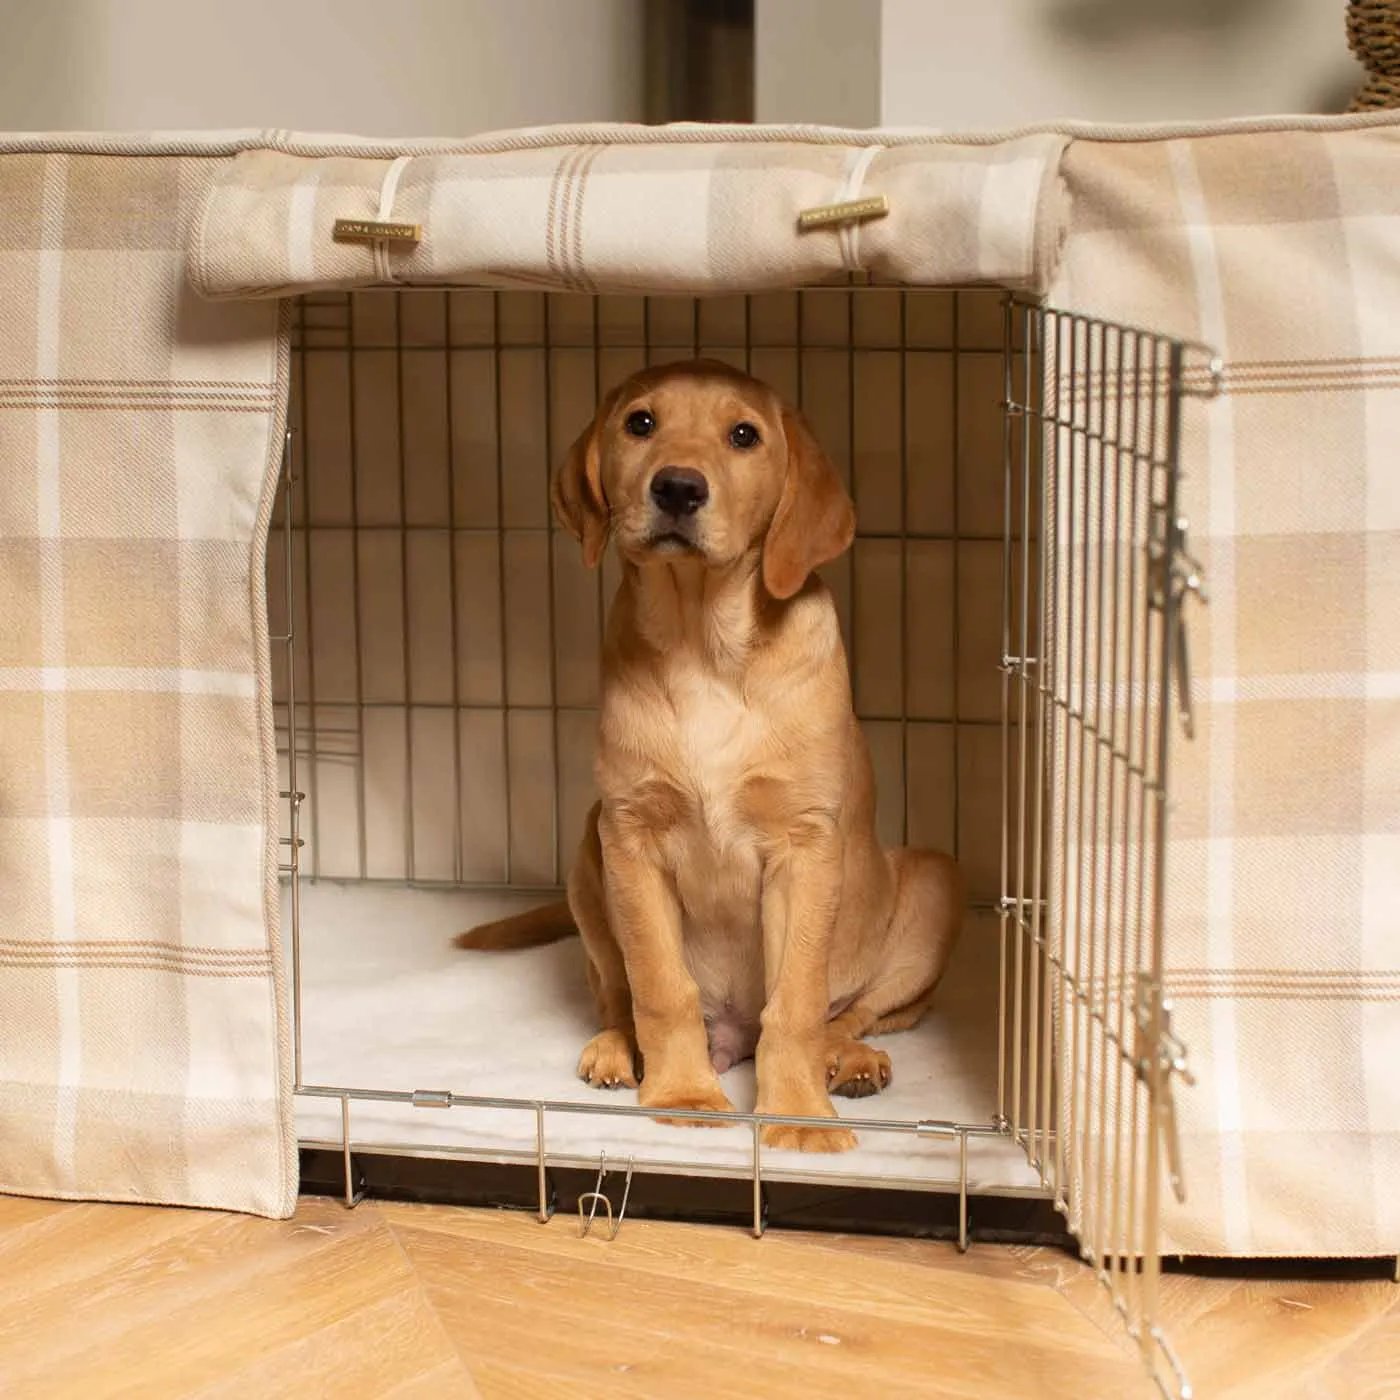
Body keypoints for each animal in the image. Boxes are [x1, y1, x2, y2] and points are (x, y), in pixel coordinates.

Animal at [459, 358, 963, 1148]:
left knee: (854, 1012)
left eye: (744, 435)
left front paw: (798, 1117)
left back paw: (849, 1062)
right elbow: (662, 987)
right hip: (587, 853)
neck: (704, 646)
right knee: (614, 991)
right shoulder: (631, 835)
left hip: (936, 882)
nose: (677, 487)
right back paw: (616, 1050)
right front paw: (685, 1095)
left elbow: (797, 1001)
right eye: (640, 422)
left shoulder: (804, 846)